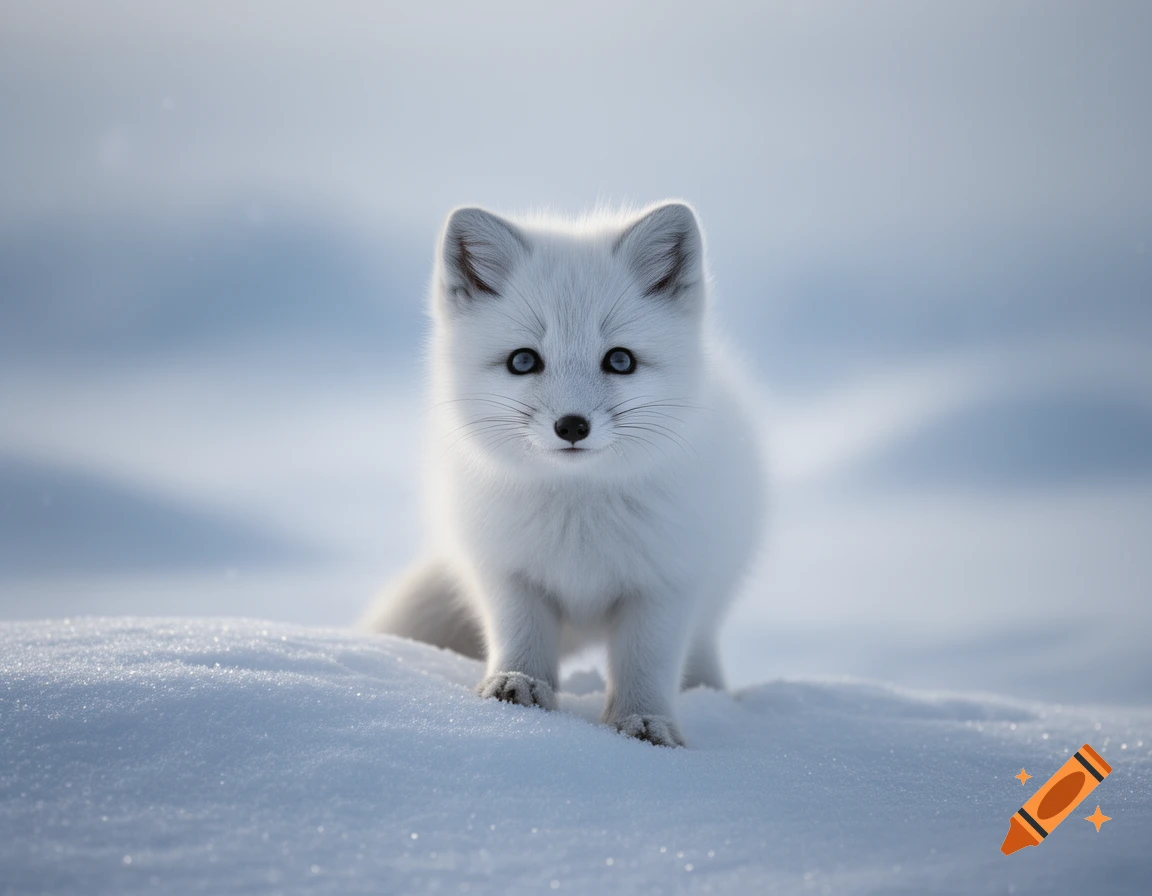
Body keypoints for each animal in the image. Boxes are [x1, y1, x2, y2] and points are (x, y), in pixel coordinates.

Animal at [363, 201, 765, 746]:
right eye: (523, 360)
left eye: (620, 360)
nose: (572, 426)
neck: (579, 520)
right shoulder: (507, 572)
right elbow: (520, 641)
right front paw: (517, 689)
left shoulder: (665, 583)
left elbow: (647, 664)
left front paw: (643, 723)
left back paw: (713, 697)